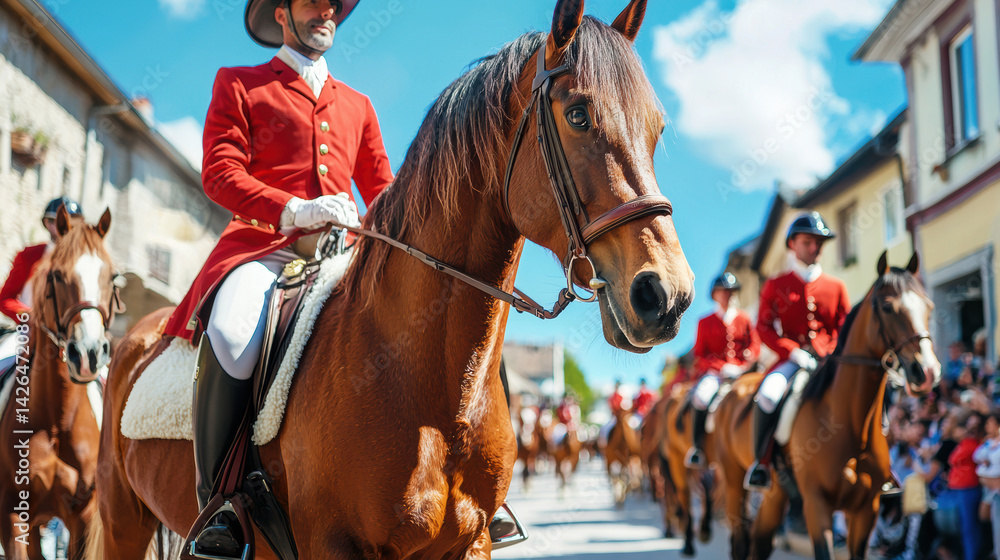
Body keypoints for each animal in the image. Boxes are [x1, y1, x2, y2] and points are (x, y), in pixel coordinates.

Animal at [0, 207, 116, 560]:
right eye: (57, 275)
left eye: (112, 278)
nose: (89, 353)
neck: (58, 420)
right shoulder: (12, 516)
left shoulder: (83, 519)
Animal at [85, 1, 694, 558]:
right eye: (579, 115)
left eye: (658, 127)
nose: (666, 296)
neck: (436, 392)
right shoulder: (335, 545)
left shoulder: (471, 543)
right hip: (121, 518)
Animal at [712, 252, 940, 560]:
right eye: (887, 307)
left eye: (928, 305)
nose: (927, 371)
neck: (851, 425)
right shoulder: (816, 504)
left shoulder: (867, 509)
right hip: (734, 482)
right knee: (740, 539)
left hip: (776, 492)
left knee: (761, 540)